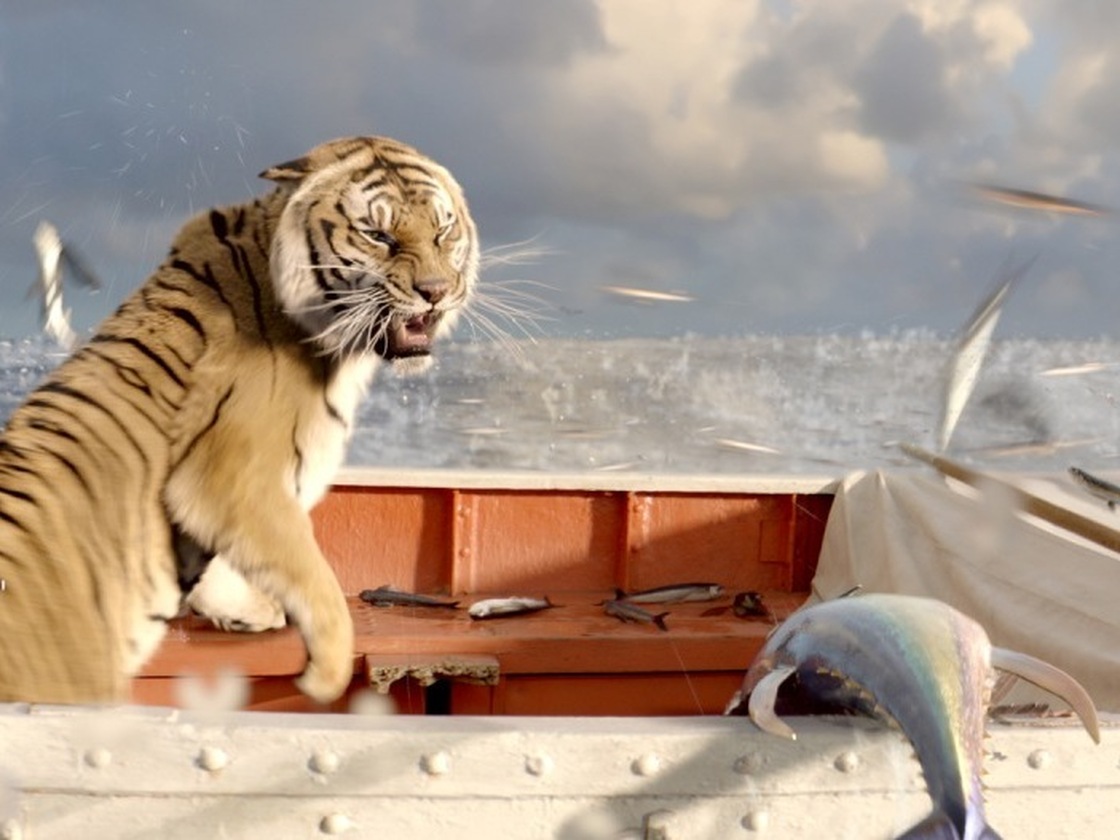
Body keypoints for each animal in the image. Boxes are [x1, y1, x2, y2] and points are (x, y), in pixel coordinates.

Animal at [0, 136, 479, 704]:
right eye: (378, 235)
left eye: (443, 231)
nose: (436, 290)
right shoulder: (230, 478)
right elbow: (311, 570)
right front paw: (327, 675)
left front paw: (241, 610)